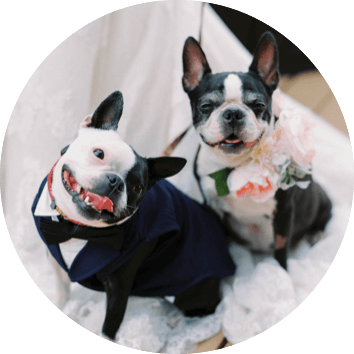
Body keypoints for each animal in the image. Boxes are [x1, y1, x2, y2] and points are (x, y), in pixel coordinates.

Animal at [30, 90, 235, 340]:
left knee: (203, 310)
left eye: (137, 188)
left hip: (192, 288)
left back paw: (176, 321)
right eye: (98, 153)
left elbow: (109, 324)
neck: (77, 229)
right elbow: (61, 293)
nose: (115, 182)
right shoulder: (55, 262)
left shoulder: (119, 286)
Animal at [169, 32, 332, 268]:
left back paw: (316, 234)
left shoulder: (283, 211)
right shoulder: (213, 207)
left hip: (320, 197)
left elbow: (281, 247)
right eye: (206, 106)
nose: (233, 113)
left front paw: (280, 272)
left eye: (258, 105)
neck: (235, 166)